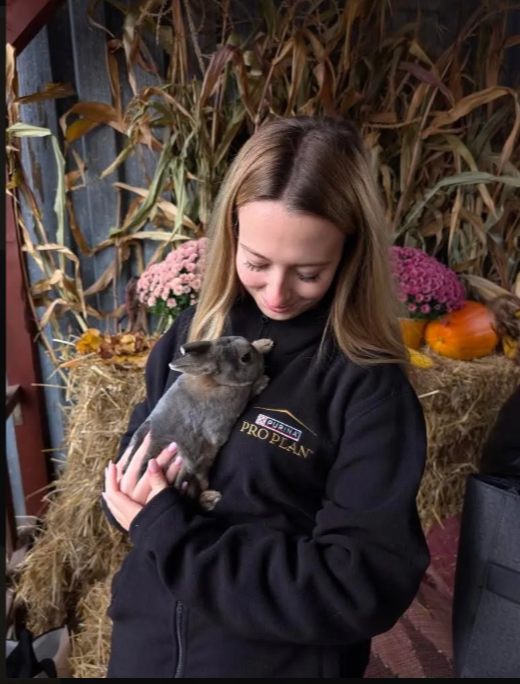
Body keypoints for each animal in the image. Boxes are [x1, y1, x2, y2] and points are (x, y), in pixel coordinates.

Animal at [120, 336, 274, 511]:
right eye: (245, 358)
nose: (261, 362)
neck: (215, 380)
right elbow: (249, 393)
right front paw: (262, 381)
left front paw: (264, 343)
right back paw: (211, 498)